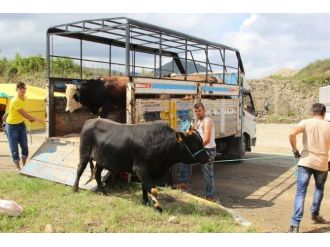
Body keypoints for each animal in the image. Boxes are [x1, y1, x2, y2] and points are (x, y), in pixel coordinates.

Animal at [73, 118, 210, 211]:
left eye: (201, 142)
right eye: (195, 144)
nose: (208, 158)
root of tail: (90, 120)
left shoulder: (149, 171)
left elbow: (145, 187)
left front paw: (146, 202)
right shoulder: (140, 168)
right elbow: (153, 189)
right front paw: (157, 207)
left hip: (102, 159)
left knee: (97, 174)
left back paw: (103, 191)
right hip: (84, 153)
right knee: (80, 169)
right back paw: (75, 189)